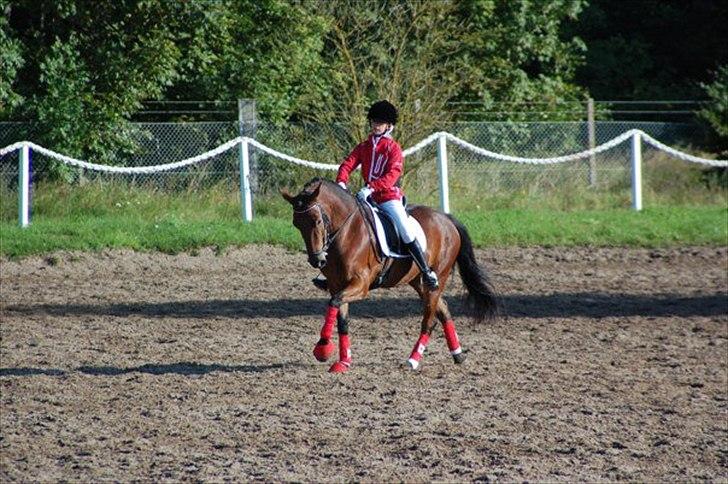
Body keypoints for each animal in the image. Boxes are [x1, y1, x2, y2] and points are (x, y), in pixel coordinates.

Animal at [281, 178, 500, 373]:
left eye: (317, 221)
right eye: (296, 224)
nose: (317, 260)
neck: (347, 231)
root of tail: (446, 218)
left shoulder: (360, 285)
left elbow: (334, 303)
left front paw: (323, 348)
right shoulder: (337, 285)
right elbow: (341, 320)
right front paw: (343, 362)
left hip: (438, 277)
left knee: (429, 320)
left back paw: (413, 360)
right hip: (419, 282)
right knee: (443, 309)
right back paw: (458, 354)